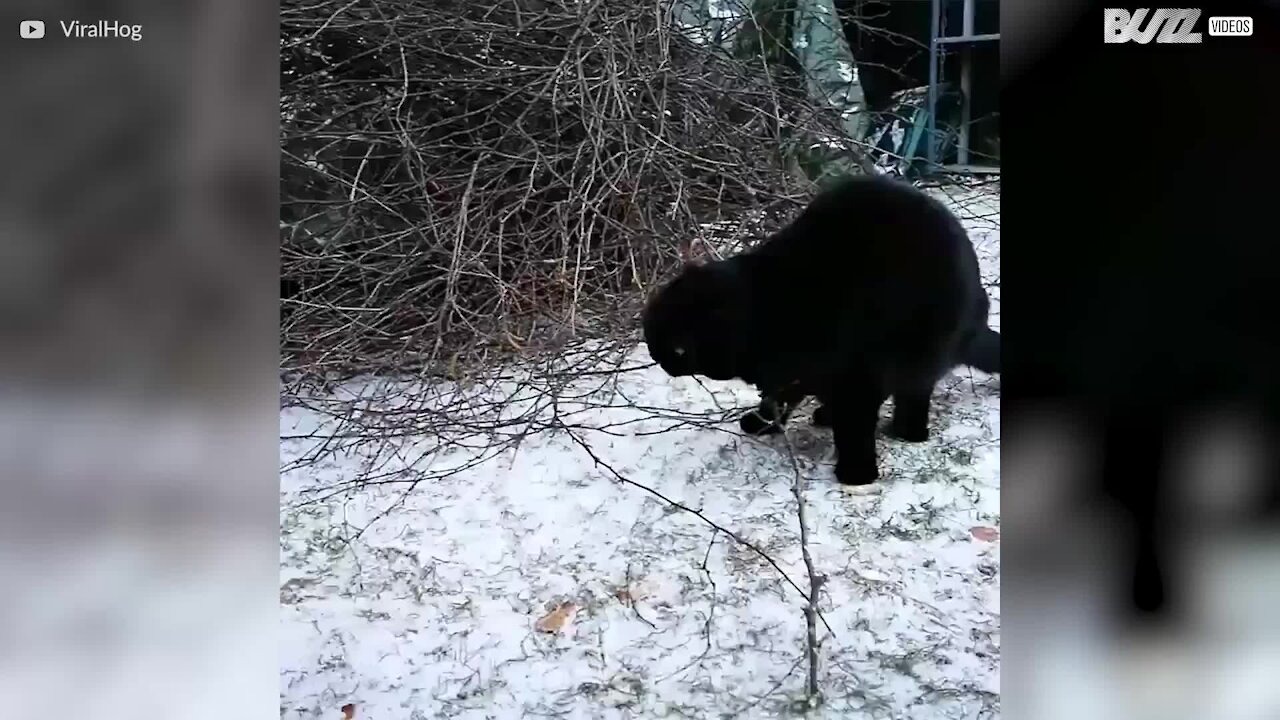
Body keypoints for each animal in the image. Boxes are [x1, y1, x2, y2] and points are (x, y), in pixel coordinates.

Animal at [640, 172, 998, 481]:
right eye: (652, 340)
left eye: (677, 348)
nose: (660, 360)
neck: (767, 312)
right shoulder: (791, 373)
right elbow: (777, 399)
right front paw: (764, 422)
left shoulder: (857, 371)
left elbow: (854, 422)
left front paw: (857, 473)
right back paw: (827, 415)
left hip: (919, 345)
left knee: (913, 392)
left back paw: (907, 431)